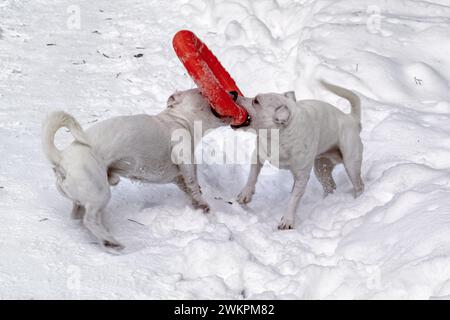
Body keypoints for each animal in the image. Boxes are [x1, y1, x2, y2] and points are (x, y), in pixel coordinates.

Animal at [42, 89, 229, 251]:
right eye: (201, 92)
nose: (232, 94)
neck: (180, 118)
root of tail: (61, 157)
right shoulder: (183, 153)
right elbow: (192, 180)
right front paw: (202, 203)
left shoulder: (177, 176)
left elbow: (188, 186)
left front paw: (198, 203)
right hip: (99, 192)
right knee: (90, 220)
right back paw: (110, 241)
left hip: (84, 197)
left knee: (79, 215)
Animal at [234, 80, 364, 230]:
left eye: (256, 101)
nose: (235, 95)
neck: (278, 138)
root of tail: (352, 119)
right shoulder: (258, 155)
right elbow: (252, 176)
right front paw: (245, 194)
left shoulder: (302, 176)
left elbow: (294, 198)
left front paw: (287, 220)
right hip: (321, 168)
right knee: (330, 186)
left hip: (351, 163)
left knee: (359, 185)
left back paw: (358, 201)